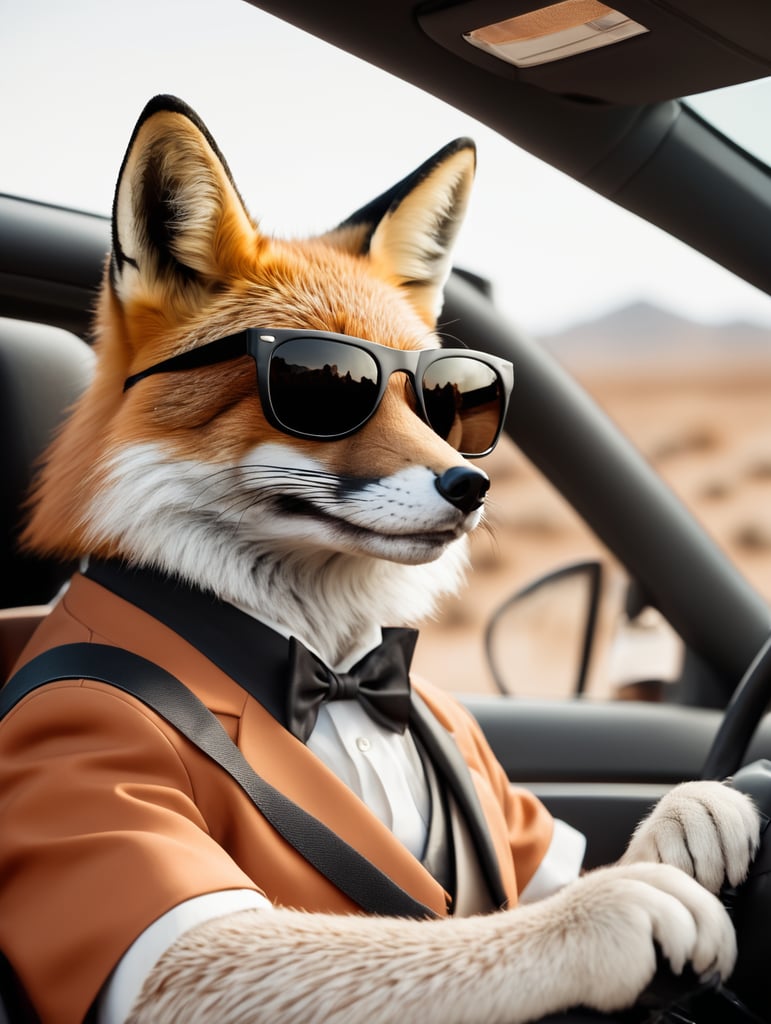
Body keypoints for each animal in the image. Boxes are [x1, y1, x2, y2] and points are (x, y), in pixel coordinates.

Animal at [0, 94, 760, 1024]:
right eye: (325, 385)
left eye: (449, 396)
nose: (472, 484)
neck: (336, 673)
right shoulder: (103, 798)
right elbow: (432, 939)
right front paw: (607, 911)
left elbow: (574, 864)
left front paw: (689, 817)